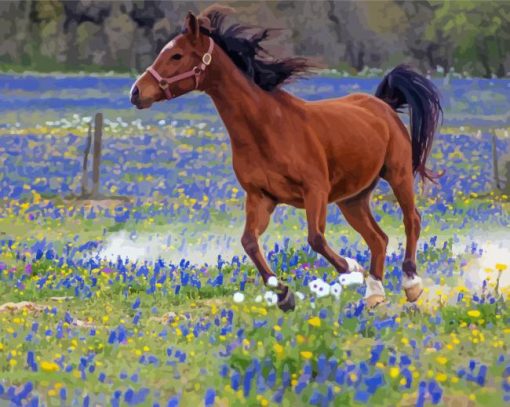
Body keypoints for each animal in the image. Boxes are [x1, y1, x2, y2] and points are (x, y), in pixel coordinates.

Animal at [130, 5, 442, 312]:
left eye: (176, 55)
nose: (136, 92)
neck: (268, 129)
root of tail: (383, 105)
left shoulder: (315, 190)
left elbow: (315, 239)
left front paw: (352, 271)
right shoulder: (261, 197)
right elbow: (249, 242)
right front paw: (283, 295)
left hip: (398, 174)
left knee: (411, 219)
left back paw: (410, 283)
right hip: (352, 198)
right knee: (379, 238)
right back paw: (374, 293)